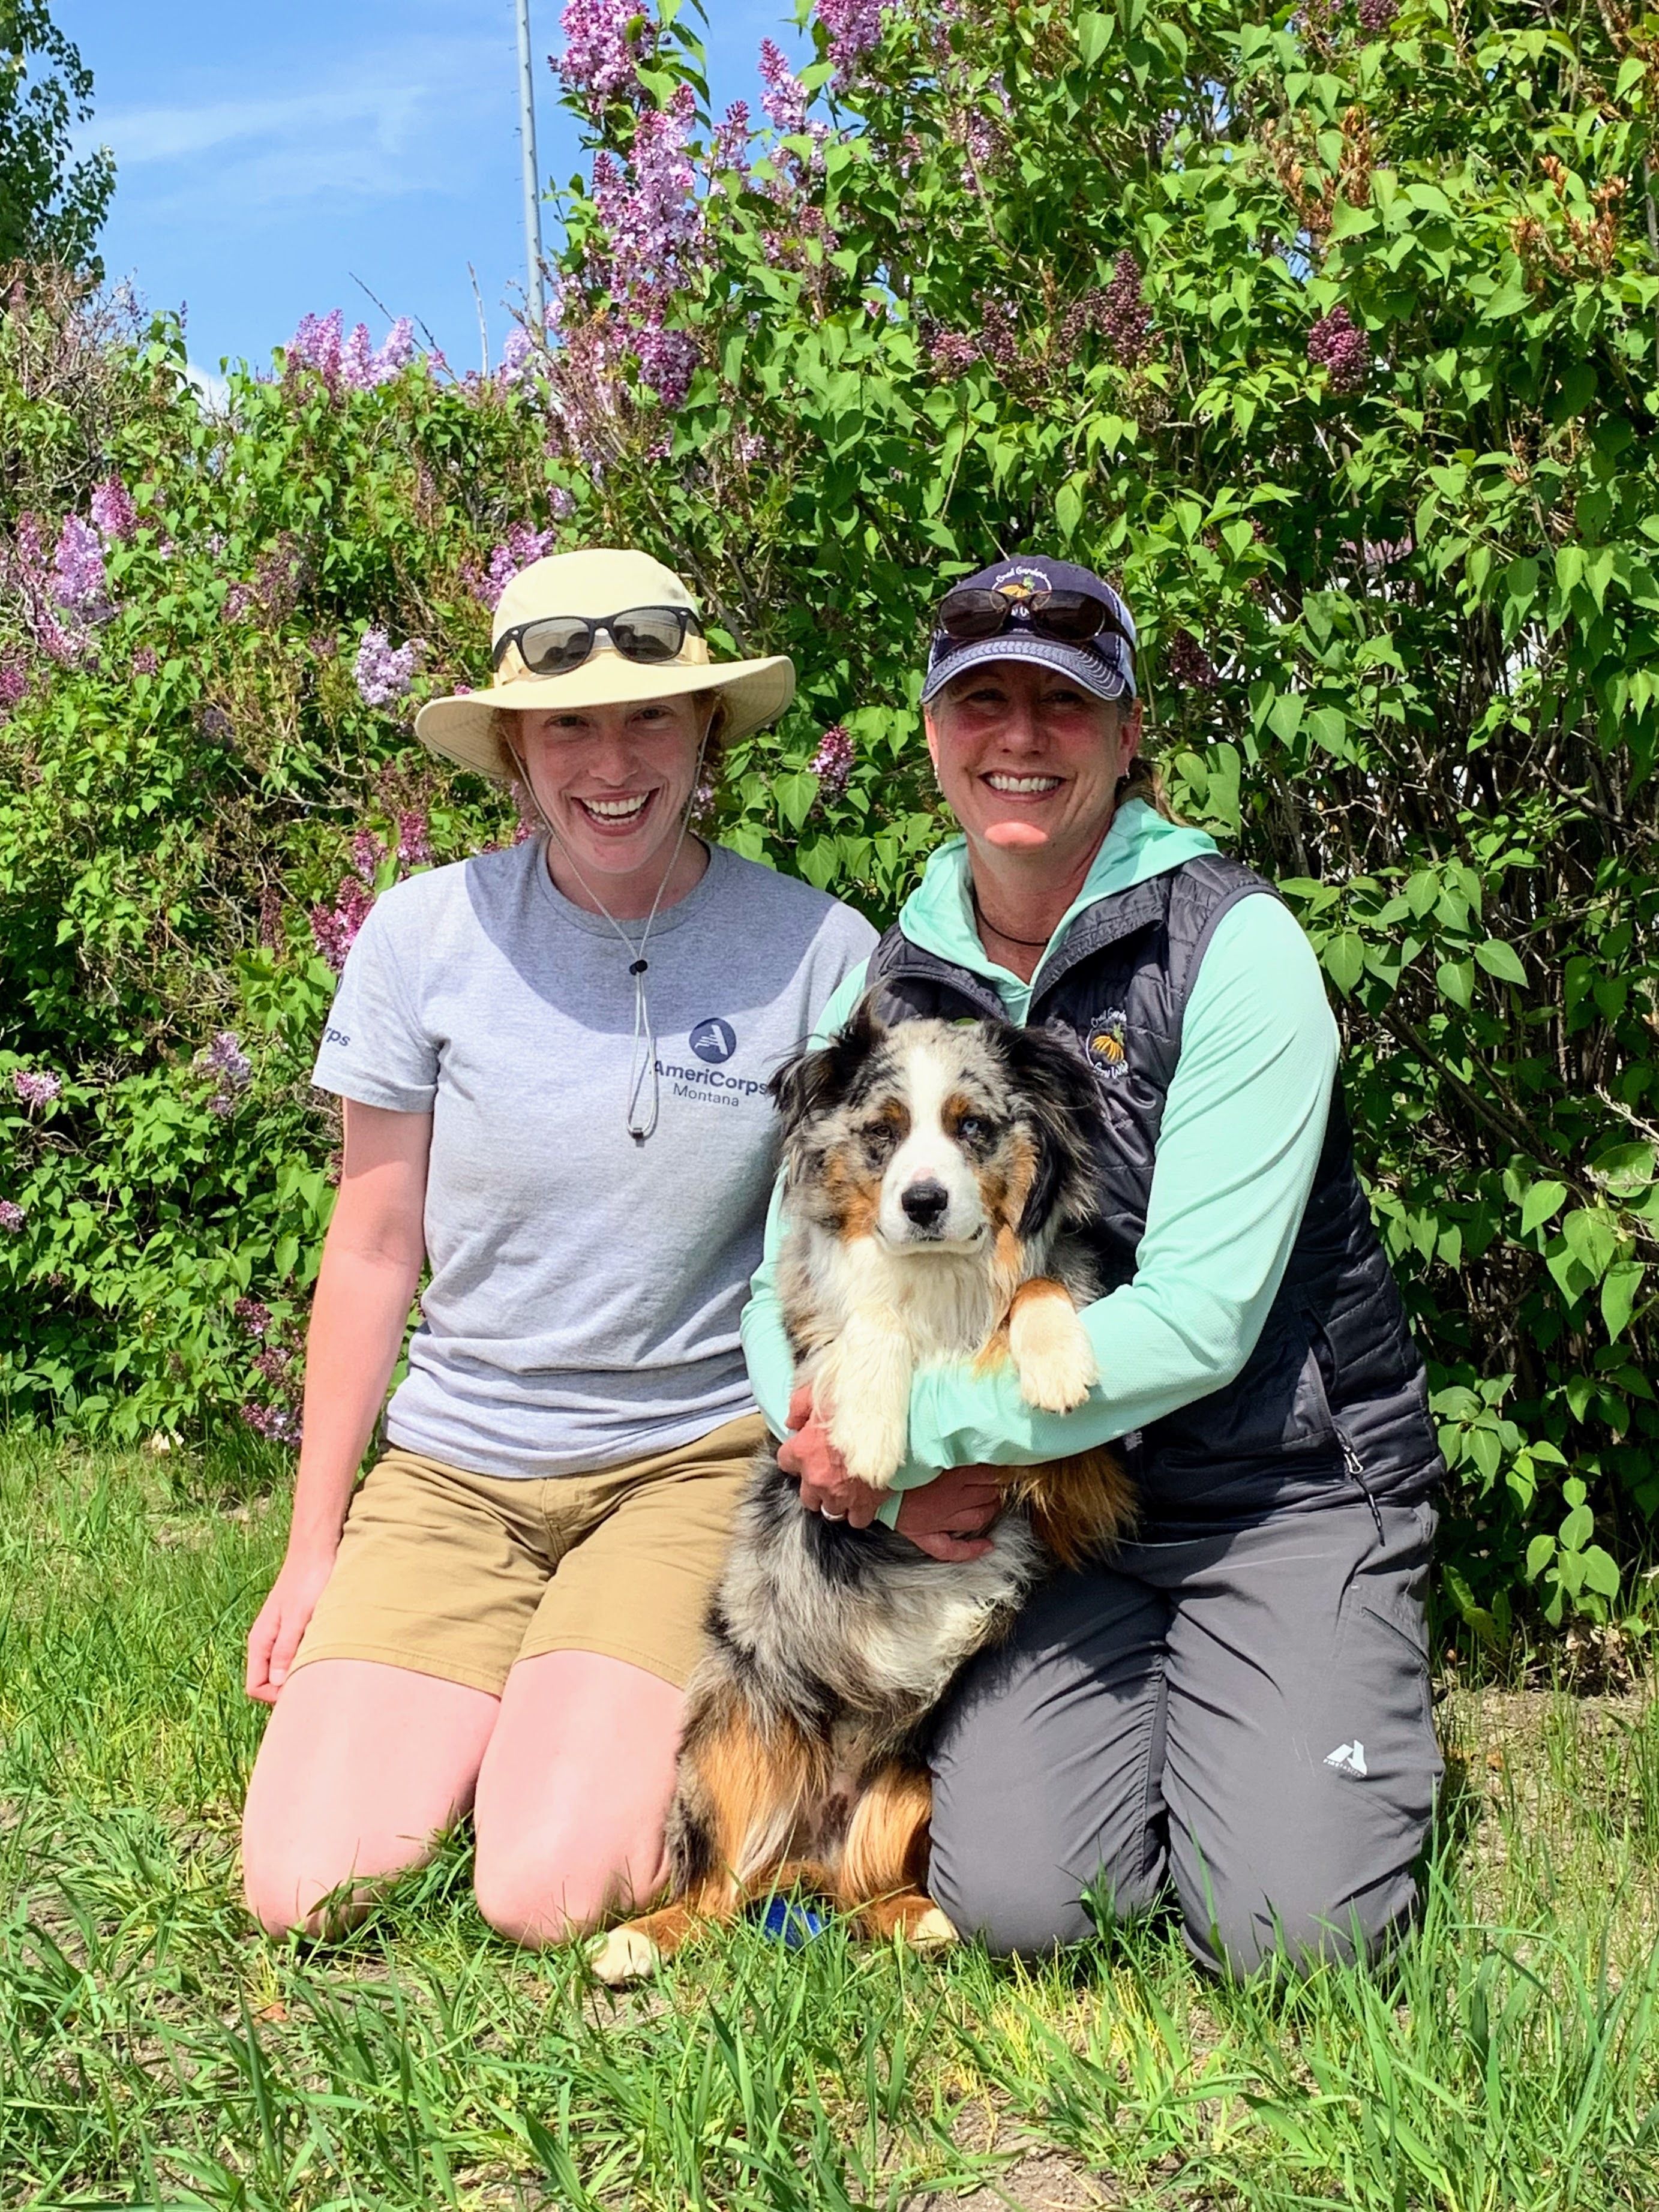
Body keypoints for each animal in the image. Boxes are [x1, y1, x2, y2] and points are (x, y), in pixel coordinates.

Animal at [593, 1009, 1141, 1991]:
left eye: (972, 1126)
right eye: (882, 1134)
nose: (921, 1203)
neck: (940, 1281)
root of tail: (808, 1847)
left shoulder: (1086, 1480)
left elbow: (1035, 1288)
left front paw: (1055, 1356)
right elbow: (863, 1326)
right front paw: (875, 1430)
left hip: (911, 1785)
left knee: (862, 1894)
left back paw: (921, 1919)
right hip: (739, 1734)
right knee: (717, 1891)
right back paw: (638, 1938)